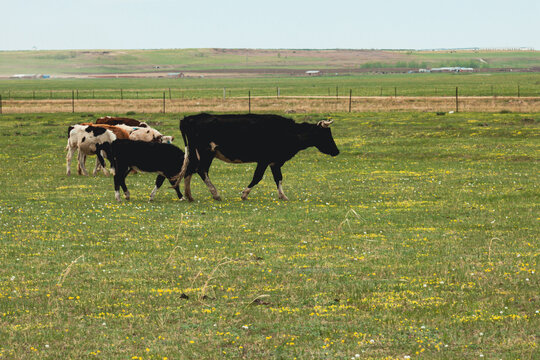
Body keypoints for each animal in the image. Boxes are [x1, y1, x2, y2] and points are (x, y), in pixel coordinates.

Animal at [176, 112, 338, 201]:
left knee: (190, 170)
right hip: (206, 153)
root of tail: (191, 118)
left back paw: (189, 196)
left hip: (196, 153)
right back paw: (215, 194)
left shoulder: (274, 162)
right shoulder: (264, 160)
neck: (288, 131)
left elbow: (278, 178)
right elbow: (257, 177)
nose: (337, 151)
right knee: (201, 170)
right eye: (326, 134)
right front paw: (244, 194)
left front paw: (283, 196)